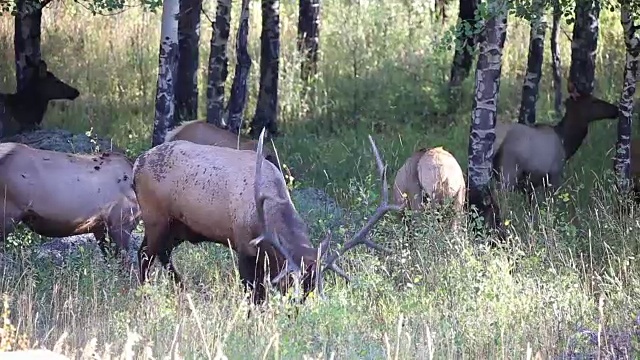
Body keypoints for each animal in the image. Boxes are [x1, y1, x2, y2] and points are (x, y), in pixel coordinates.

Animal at [132, 129, 402, 304]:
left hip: (180, 227)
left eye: (313, 290)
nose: (297, 315)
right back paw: (146, 294)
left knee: (161, 253)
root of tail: (137, 163)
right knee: (145, 253)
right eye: (289, 287)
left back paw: (182, 288)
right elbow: (255, 295)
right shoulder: (243, 244)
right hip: (155, 217)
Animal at [490, 82, 620, 204]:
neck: (566, 143)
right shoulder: (554, 175)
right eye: (594, 100)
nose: (616, 109)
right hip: (507, 172)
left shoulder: (530, 186)